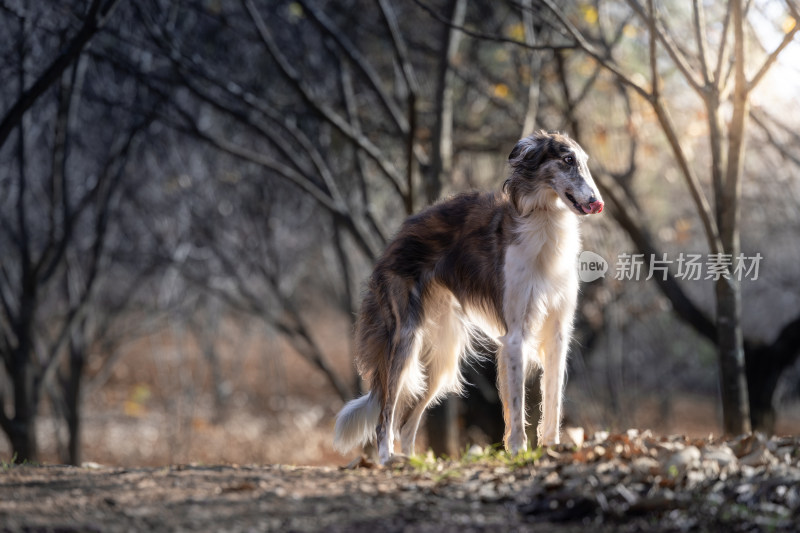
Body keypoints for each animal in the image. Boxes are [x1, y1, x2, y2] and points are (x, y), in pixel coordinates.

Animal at [334, 129, 604, 462]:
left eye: (584, 162)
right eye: (567, 160)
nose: (597, 202)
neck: (545, 220)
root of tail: (394, 240)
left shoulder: (557, 333)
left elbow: (552, 400)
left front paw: (551, 448)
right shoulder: (516, 335)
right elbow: (516, 407)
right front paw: (518, 451)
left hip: (444, 356)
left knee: (407, 424)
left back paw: (412, 462)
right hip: (404, 341)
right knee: (386, 416)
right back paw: (387, 459)